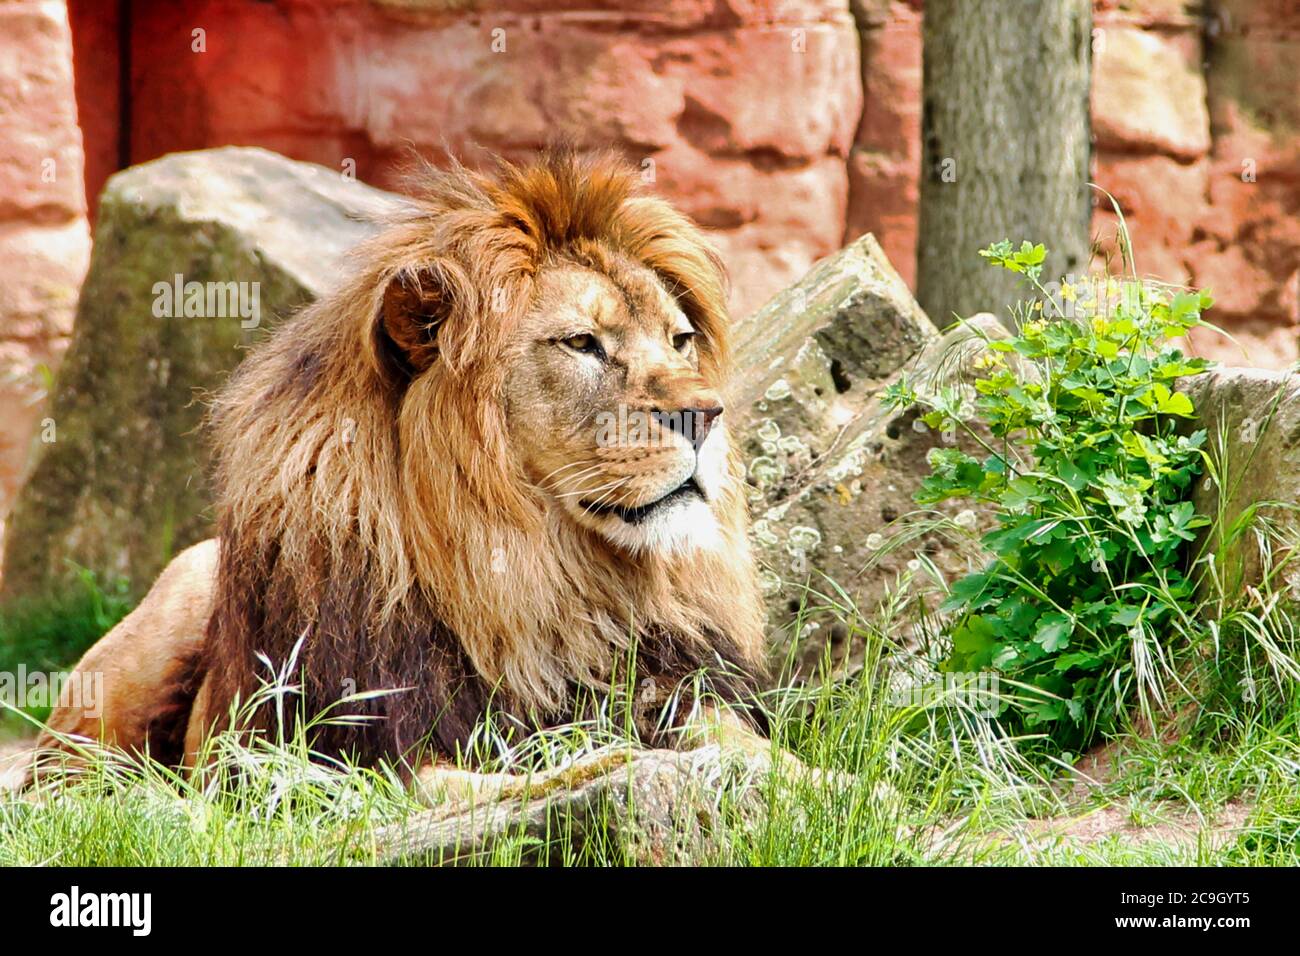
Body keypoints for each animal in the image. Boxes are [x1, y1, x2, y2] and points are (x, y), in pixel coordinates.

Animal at [30, 145, 774, 796]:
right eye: (581, 343)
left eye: (680, 340)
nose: (707, 415)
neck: (542, 578)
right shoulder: (344, 756)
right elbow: (476, 783)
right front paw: (599, 762)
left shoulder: (679, 681)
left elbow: (752, 747)